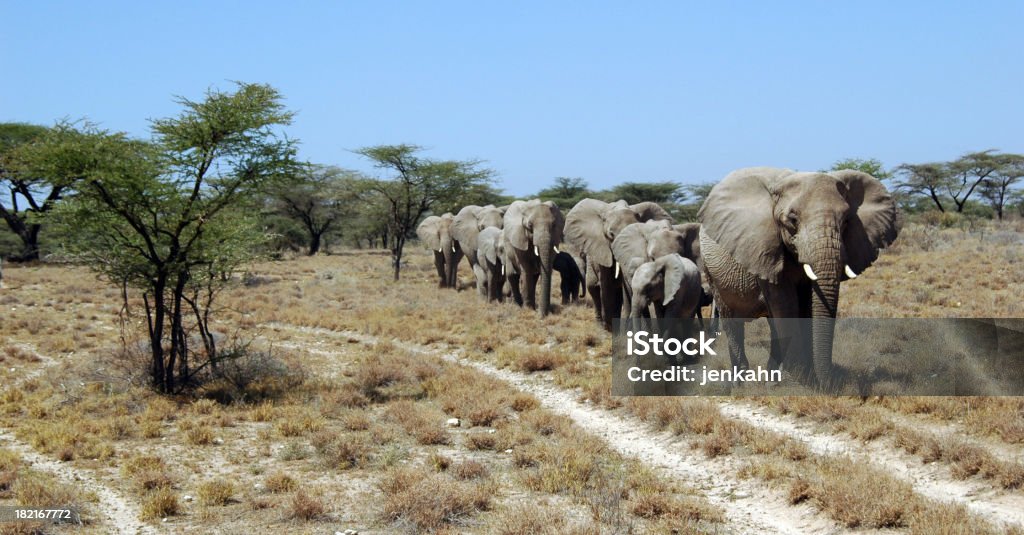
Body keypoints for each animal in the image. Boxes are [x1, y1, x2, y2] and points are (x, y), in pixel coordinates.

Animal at [700, 166, 901, 383]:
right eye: (792, 220)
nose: (831, 383)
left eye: (847, 221)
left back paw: (771, 375)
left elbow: (806, 304)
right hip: (711, 271)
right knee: (732, 320)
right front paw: (798, 379)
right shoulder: (764, 250)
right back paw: (740, 381)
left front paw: (804, 376)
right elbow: (785, 303)